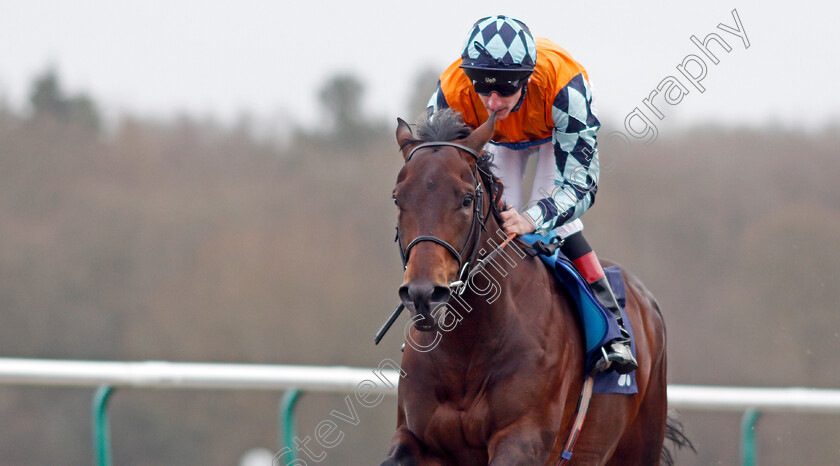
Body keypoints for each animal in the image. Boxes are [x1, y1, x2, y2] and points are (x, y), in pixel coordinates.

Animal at [384, 107, 684, 464]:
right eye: (398, 199)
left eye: (467, 199)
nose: (423, 294)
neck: (467, 350)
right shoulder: (415, 436)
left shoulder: (523, 439)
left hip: (641, 443)